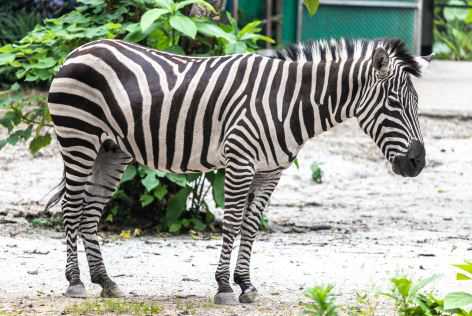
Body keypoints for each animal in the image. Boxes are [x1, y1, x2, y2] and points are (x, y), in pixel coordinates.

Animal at [46, 37, 430, 306]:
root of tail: (79, 50)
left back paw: (105, 281)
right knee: (71, 208)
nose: (418, 163)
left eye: (417, 104)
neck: (288, 102)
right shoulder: (240, 160)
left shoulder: (270, 171)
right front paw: (224, 287)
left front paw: (246, 285)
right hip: (78, 138)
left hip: (112, 151)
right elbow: (231, 224)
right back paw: (75, 282)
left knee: (90, 213)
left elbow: (250, 227)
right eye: (394, 104)